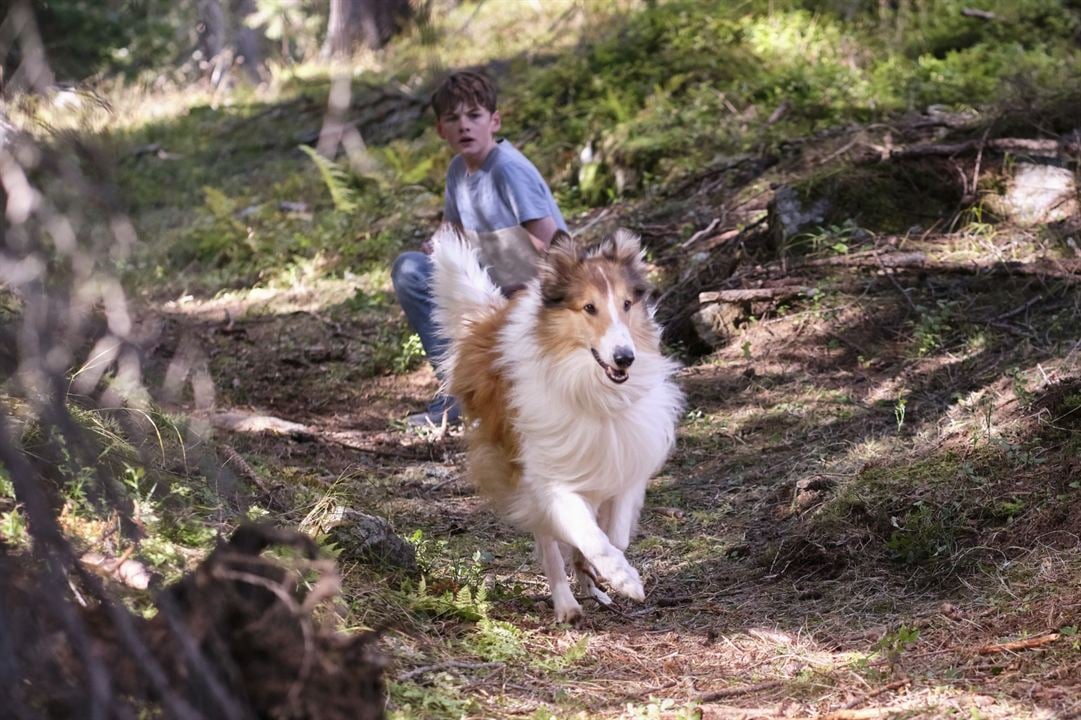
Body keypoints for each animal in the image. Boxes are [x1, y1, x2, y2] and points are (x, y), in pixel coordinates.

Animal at [428, 224, 674, 618]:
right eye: (589, 307)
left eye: (627, 304)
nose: (625, 358)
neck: (592, 388)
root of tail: (490, 321)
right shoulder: (549, 477)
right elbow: (590, 535)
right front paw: (624, 578)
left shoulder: (627, 454)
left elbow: (615, 534)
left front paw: (607, 570)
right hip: (521, 467)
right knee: (548, 541)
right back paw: (567, 603)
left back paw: (589, 584)